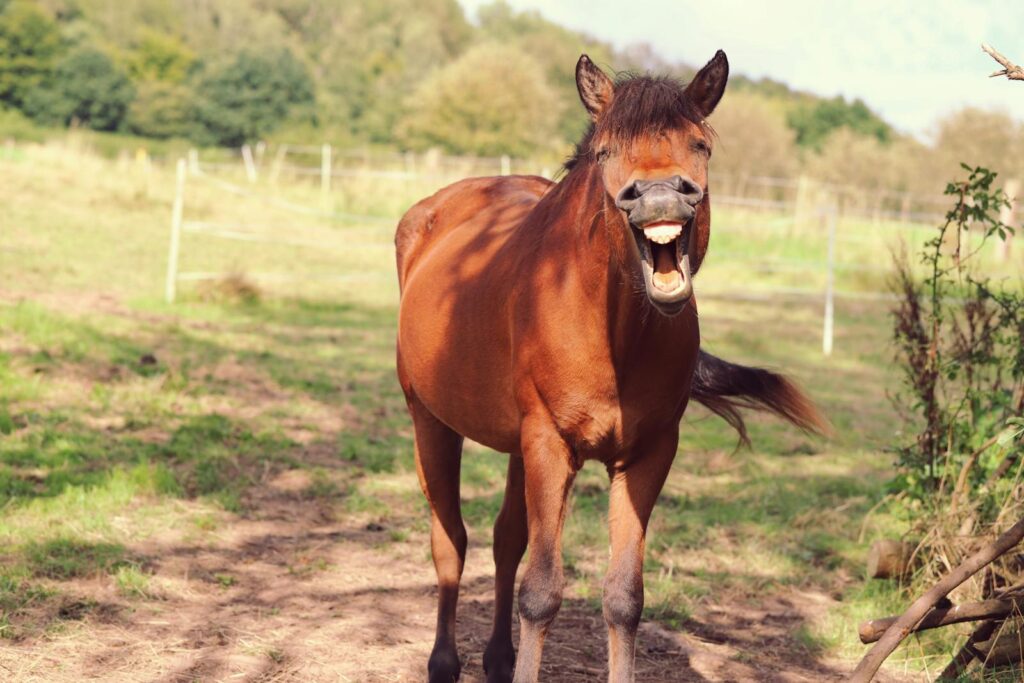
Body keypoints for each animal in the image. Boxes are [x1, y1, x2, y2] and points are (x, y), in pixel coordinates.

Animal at [394, 50, 828, 683]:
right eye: (605, 151)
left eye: (700, 145)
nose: (659, 196)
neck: (614, 333)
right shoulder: (550, 444)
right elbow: (541, 592)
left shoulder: (646, 454)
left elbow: (624, 597)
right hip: (431, 421)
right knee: (450, 539)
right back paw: (444, 662)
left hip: (515, 448)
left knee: (504, 540)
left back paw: (497, 660)